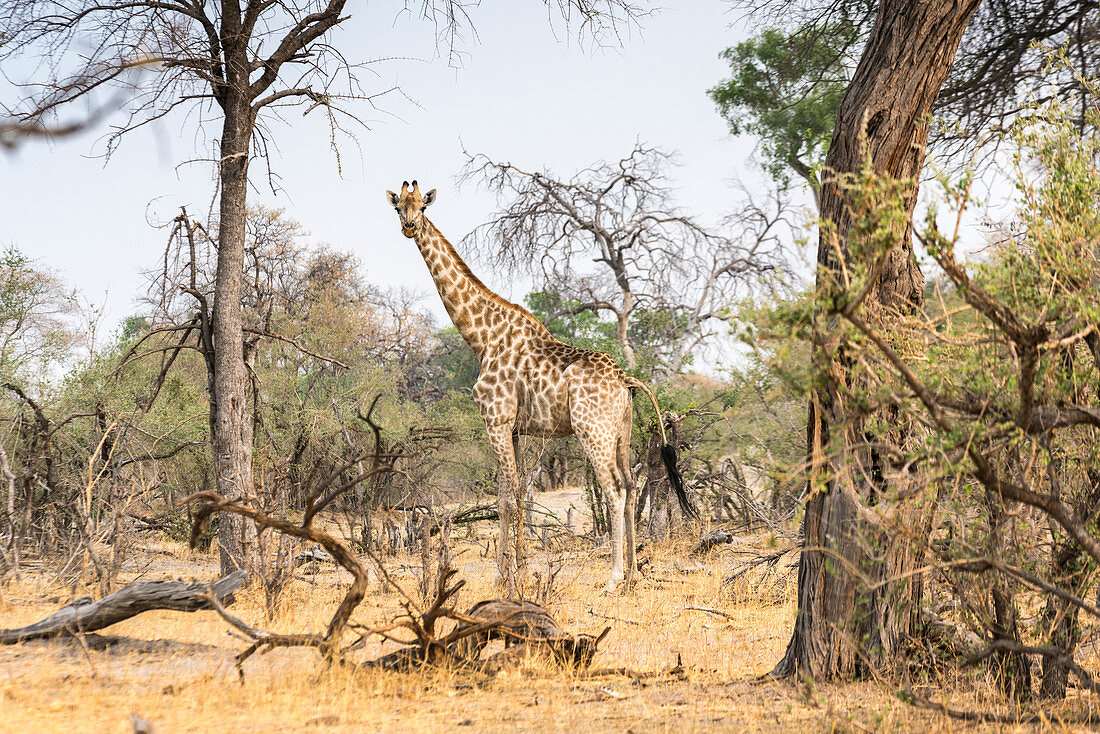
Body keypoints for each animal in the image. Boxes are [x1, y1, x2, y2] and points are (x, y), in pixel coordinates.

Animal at [389, 180, 695, 594]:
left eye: (422, 206)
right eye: (397, 207)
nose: (408, 226)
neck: (481, 337)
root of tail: (626, 379)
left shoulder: (496, 421)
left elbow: (505, 500)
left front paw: (505, 577)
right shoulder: (516, 429)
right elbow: (514, 493)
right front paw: (515, 571)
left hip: (592, 431)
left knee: (614, 489)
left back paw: (613, 578)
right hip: (622, 431)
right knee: (632, 487)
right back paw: (633, 573)